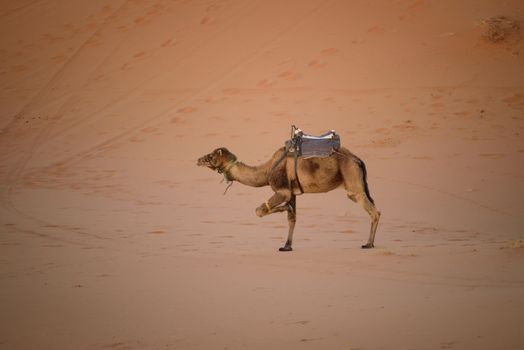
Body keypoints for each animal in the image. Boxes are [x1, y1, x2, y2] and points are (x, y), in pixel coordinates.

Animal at [196, 145, 380, 252]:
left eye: (211, 156)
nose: (198, 159)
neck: (266, 171)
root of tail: (358, 160)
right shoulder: (292, 193)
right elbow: (292, 219)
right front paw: (286, 246)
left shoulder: (282, 190)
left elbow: (259, 210)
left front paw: (284, 209)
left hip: (353, 182)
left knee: (373, 211)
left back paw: (368, 244)